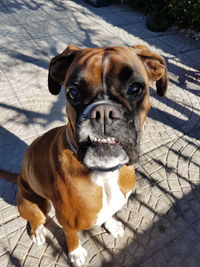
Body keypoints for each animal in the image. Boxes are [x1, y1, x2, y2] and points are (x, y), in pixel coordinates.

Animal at [0, 45, 168, 266]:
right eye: (73, 92)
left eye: (135, 89)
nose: (104, 112)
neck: (104, 174)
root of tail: (20, 178)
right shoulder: (67, 220)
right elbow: (71, 235)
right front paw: (76, 253)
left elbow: (109, 212)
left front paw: (111, 224)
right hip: (35, 204)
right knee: (37, 220)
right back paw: (38, 233)